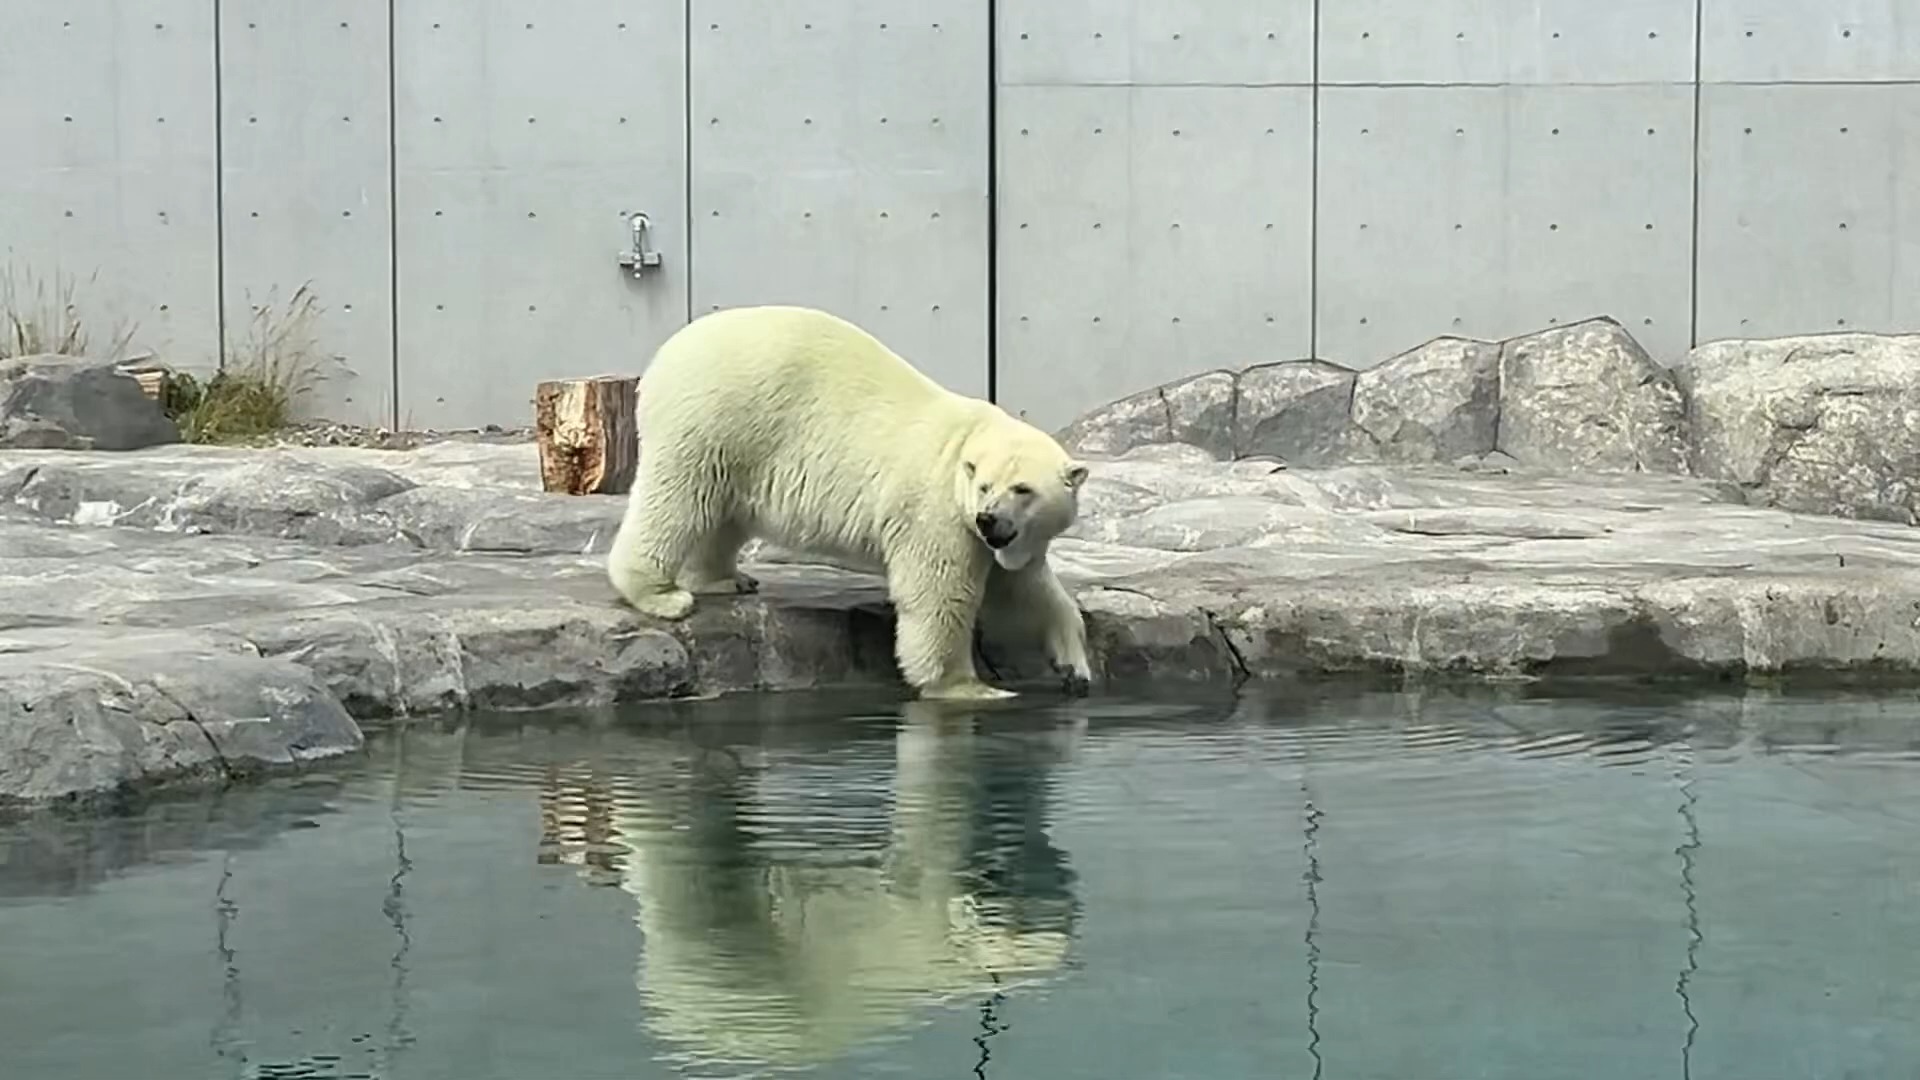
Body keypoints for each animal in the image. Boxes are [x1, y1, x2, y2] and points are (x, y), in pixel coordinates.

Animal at [614, 307, 1098, 703]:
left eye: (1022, 489)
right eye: (984, 486)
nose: (989, 518)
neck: (967, 438)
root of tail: (664, 356)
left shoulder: (991, 537)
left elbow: (1025, 587)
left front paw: (1074, 665)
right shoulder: (937, 511)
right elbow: (940, 594)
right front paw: (967, 686)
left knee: (720, 512)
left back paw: (725, 578)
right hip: (717, 415)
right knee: (677, 498)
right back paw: (661, 595)